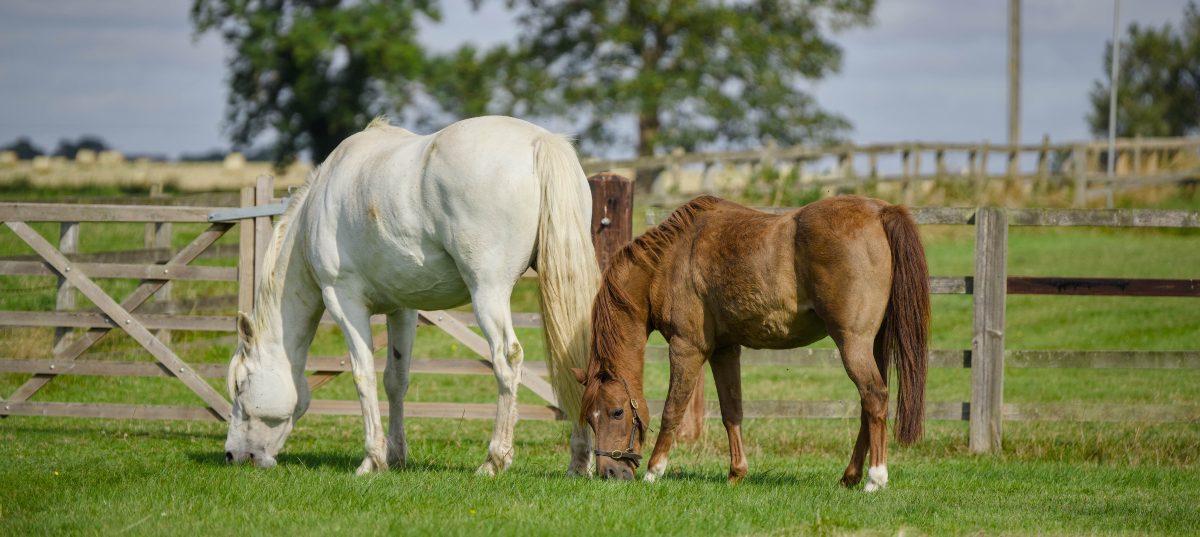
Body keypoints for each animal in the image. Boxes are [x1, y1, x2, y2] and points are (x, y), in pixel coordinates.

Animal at [224, 116, 600, 476]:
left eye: (240, 385)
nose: (232, 455)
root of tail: (539, 142)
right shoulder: (402, 309)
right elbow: (395, 380)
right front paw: (396, 456)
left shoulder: (343, 301)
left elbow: (363, 375)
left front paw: (372, 460)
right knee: (574, 358)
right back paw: (579, 462)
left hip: (488, 292)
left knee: (507, 361)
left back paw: (494, 461)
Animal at [573, 195, 930, 491]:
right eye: (590, 417)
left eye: (617, 412)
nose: (610, 473)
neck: (670, 261)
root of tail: (881, 211)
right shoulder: (724, 350)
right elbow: (732, 411)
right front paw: (736, 473)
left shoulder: (687, 348)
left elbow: (673, 410)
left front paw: (654, 471)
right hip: (874, 345)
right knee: (869, 406)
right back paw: (850, 476)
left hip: (852, 343)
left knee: (874, 397)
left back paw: (875, 478)